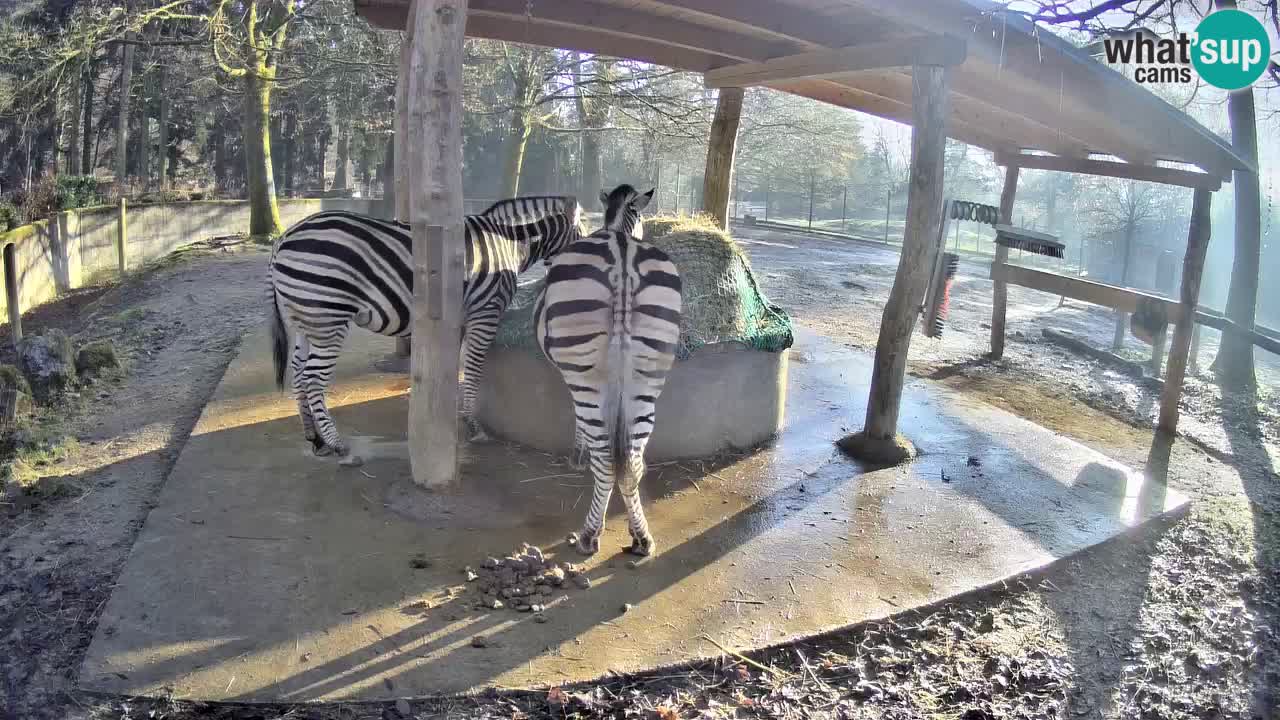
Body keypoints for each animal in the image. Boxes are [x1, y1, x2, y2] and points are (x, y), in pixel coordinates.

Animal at [269, 196, 584, 461]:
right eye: (584, 235)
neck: (509, 244)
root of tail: (283, 238)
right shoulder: (485, 312)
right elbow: (473, 369)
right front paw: (473, 425)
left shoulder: (459, 319)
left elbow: (454, 366)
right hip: (328, 317)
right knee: (313, 378)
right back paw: (336, 444)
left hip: (305, 320)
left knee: (298, 373)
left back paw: (315, 439)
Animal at [534, 184, 682, 556]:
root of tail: (622, 255)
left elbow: (582, 427)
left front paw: (578, 452)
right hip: (649, 374)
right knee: (631, 462)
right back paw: (641, 537)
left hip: (588, 374)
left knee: (605, 460)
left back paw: (589, 534)